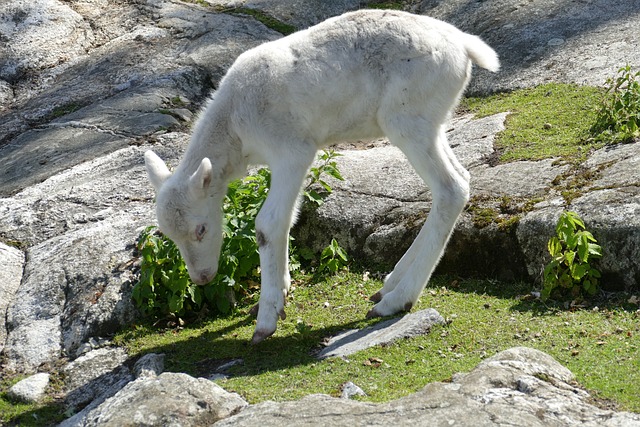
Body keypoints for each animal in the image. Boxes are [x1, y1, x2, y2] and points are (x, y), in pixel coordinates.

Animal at [145, 9, 500, 344]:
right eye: (170, 236)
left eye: (201, 229)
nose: (202, 278)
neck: (236, 133)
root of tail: (464, 46)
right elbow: (289, 218)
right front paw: (279, 292)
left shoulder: (293, 149)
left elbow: (268, 224)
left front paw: (266, 320)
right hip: (432, 121)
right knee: (459, 178)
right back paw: (388, 286)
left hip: (407, 117)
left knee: (451, 188)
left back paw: (396, 300)